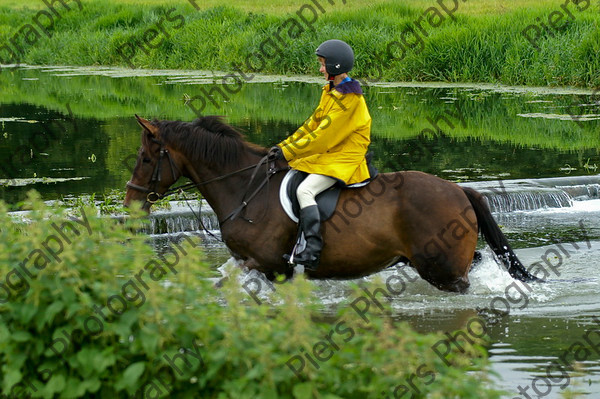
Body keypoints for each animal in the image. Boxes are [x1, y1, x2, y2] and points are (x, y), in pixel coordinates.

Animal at [123, 115, 540, 294]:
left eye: (144, 158)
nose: (130, 204)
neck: (245, 189)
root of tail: (459, 189)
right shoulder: (254, 264)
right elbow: (223, 281)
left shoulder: (268, 265)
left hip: (442, 270)